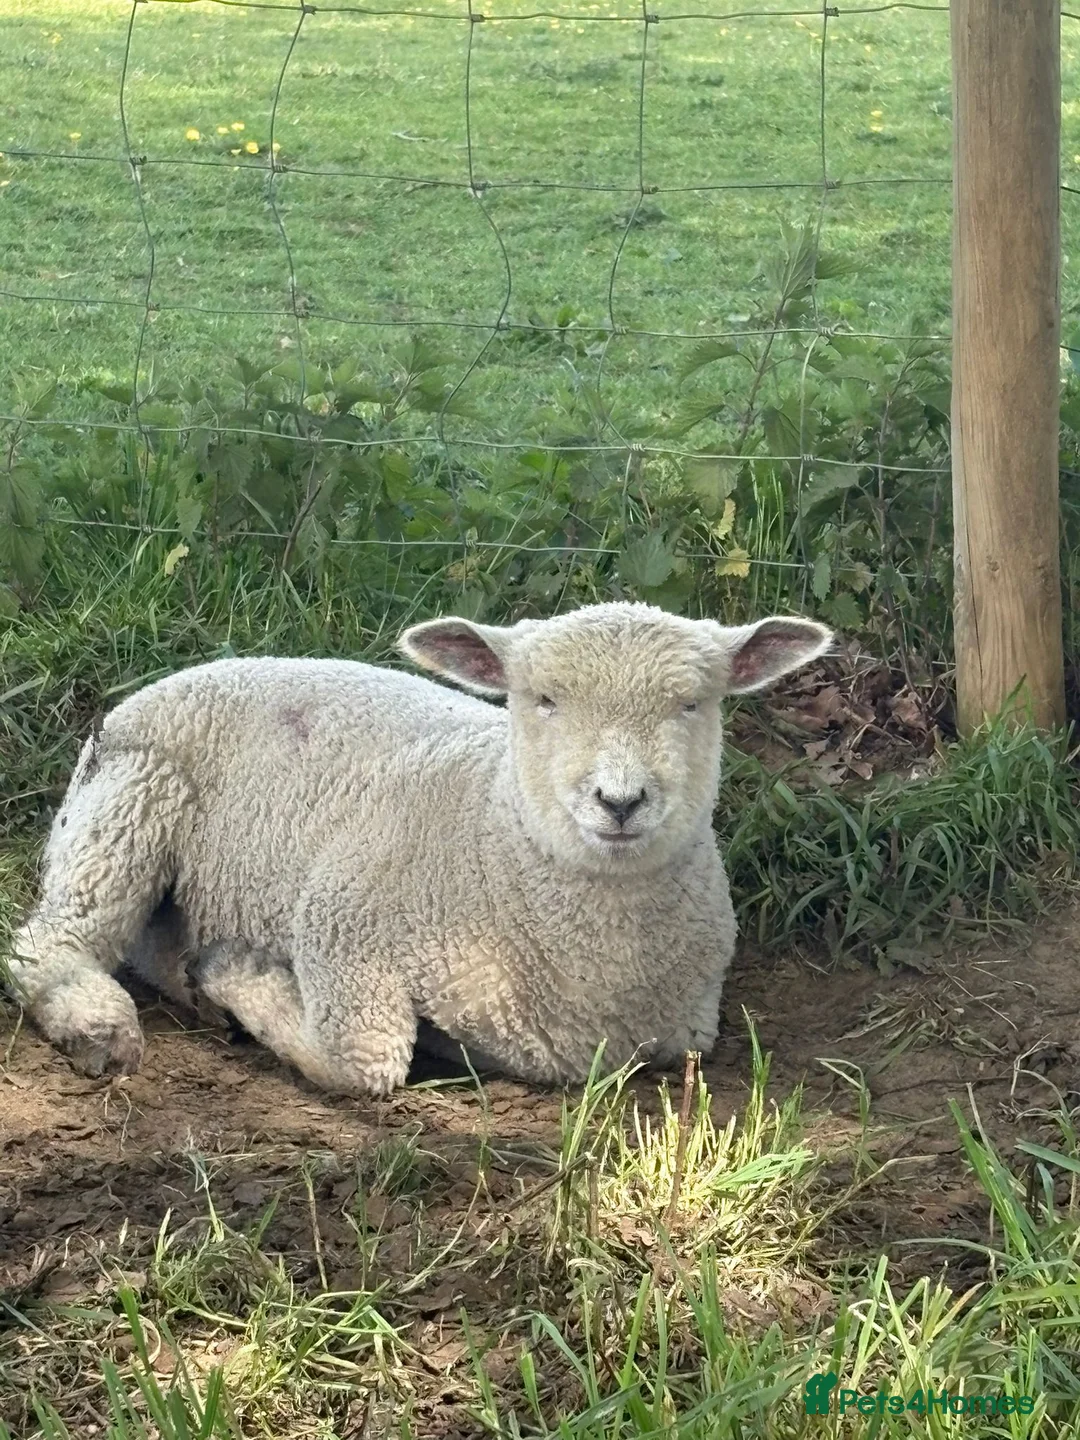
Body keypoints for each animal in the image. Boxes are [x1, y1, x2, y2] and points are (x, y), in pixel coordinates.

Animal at [6, 602, 831, 1095]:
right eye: (541, 700)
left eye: (693, 703)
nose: (620, 801)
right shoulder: (340, 915)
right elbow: (363, 1060)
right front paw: (239, 976)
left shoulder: (684, 1033)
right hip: (132, 799)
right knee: (47, 941)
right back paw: (98, 1022)